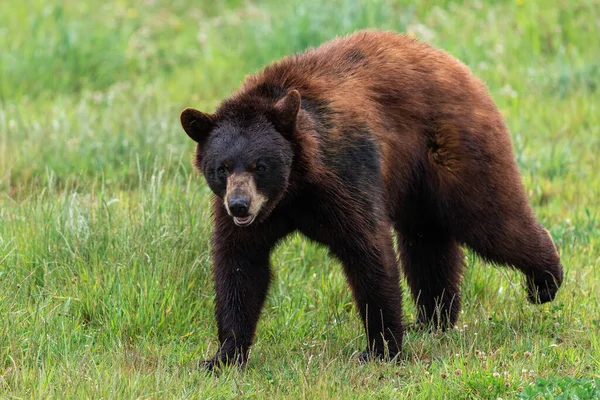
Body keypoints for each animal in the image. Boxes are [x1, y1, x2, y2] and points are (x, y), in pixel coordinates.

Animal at [178, 29, 564, 370]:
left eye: (260, 165)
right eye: (221, 167)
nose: (239, 205)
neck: (294, 188)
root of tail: (456, 64)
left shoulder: (344, 173)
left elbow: (367, 250)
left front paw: (381, 349)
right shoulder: (250, 218)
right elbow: (240, 266)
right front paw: (223, 356)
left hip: (454, 151)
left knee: (489, 218)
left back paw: (544, 282)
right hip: (416, 187)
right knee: (426, 243)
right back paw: (432, 319)